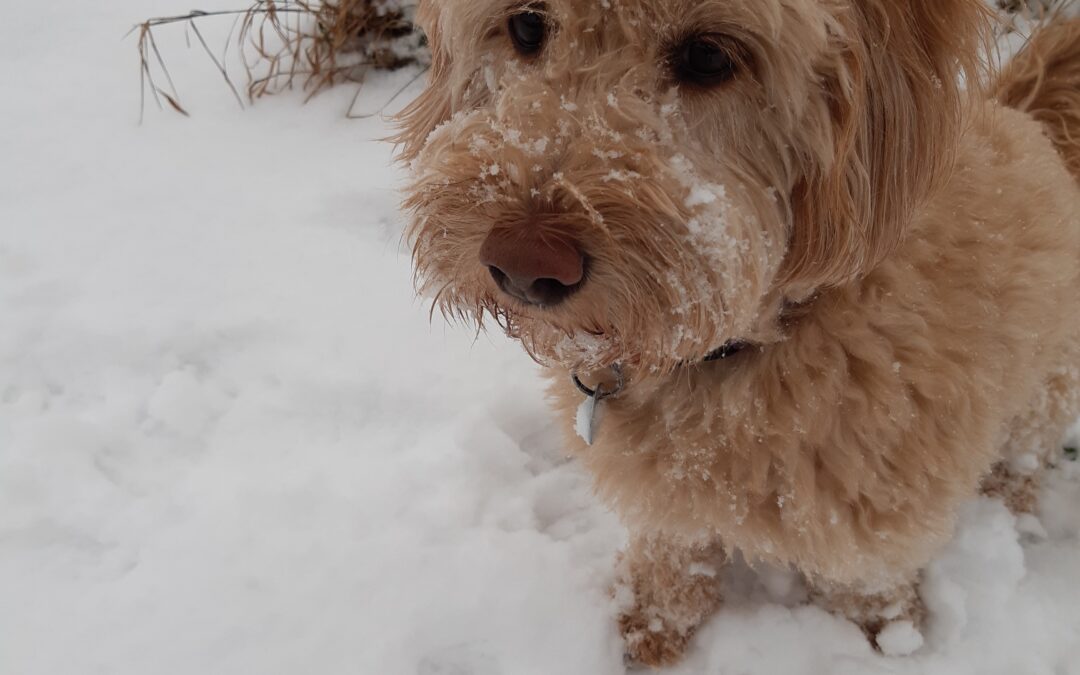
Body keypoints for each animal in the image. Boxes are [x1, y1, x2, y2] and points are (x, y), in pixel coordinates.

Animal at [393, 0, 1080, 665]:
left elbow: (867, 582)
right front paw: (652, 625)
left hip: (1045, 389)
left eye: (708, 56)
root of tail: (1027, 118)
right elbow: (672, 554)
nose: (523, 265)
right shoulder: (667, 497)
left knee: (1026, 451)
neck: (742, 343)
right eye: (527, 26)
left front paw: (888, 637)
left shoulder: (874, 510)